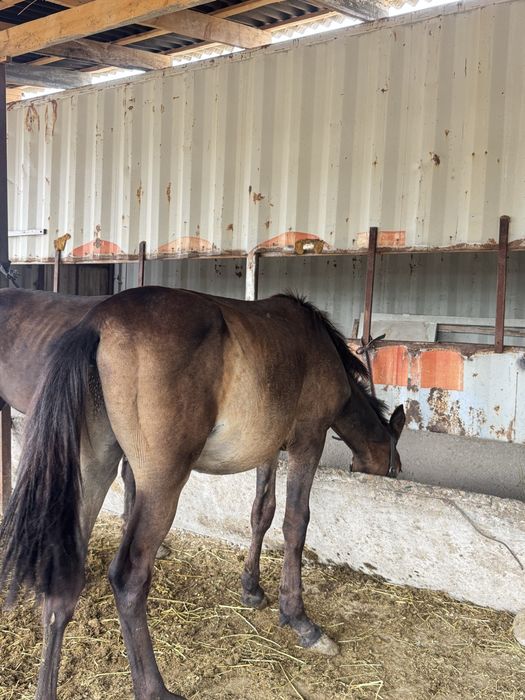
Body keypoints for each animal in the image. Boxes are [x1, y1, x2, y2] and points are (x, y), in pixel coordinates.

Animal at [0, 286, 405, 700]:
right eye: (395, 465)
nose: (389, 473)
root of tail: (96, 324)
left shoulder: (269, 450)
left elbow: (262, 512)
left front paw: (252, 589)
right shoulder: (308, 440)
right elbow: (295, 523)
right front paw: (299, 619)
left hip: (92, 468)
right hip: (162, 482)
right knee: (129, 579)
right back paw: (154, 689)